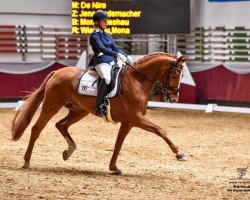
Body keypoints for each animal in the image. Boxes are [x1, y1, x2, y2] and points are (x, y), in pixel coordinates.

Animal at [11, 52, 188, 175]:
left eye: (182, 75)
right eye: (174, 74)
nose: (173, 98)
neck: (137, 81)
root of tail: (57, 72)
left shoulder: (129, 122)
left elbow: (118, 144)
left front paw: (114, 168)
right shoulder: (136, 118)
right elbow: (160, 130)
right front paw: (179, 154)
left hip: (80, 110)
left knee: (61, 125)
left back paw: (69, 150)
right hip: (51, 106)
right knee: (37, 129)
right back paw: (26, 161)